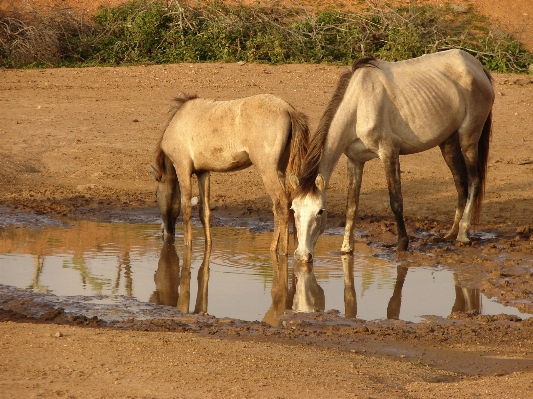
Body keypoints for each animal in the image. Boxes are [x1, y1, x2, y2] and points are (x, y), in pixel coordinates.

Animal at [151, 93, 308, 255]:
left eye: (156, 195)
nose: (165, 232)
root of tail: (287, 108)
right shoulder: (203, 172)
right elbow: (204, 212)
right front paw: (208, 245)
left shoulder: (182, 169)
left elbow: (187, 208)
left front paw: (187, 245)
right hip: (281, 171)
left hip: (267, 170)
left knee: (281, 204)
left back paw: (281, 251)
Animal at [290, 49, 494, 262]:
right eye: (293, 209)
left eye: (320, 211)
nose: (302, 255)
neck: (359, 104)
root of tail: (477, 67)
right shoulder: (354, 160)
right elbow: (351, 205)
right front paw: (346, 248)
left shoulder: (388, 151)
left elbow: (396, 201)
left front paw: (402, 244)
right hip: (448, 142)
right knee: (460, 183)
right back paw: (451, 233)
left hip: (469, 136)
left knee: (474, 180)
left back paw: (463, 234)